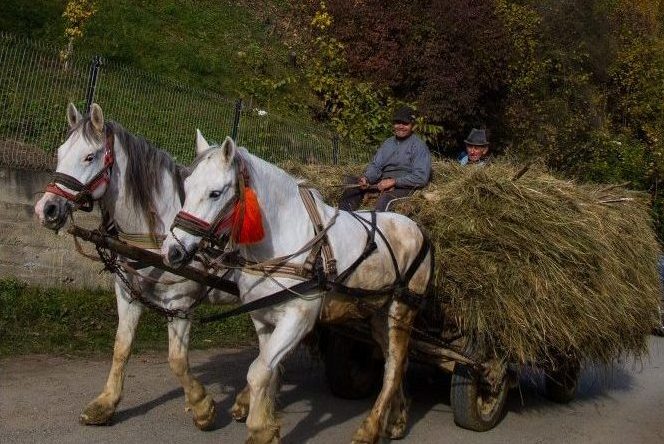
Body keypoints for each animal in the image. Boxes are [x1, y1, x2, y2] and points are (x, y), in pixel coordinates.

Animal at [33, 103, 241, 430]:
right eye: (60, 152)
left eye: (89, 156)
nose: (47, 209)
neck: (161, 231)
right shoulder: (128, 295)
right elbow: (121, 347)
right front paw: (106, 404)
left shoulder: (180, 304)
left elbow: (177, 360)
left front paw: (202, 407)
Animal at [163, 135, 434, 444]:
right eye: (186, 187)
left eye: (215, 193)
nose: (172, 251)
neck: (286, 242)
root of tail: (417, 228)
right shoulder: (263, 318)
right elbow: (266, 369)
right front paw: (265, 420)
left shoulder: (298, 318)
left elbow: (258, 371)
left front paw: (260, 431)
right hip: (377, 314)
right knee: (394, 361)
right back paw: (397, 419)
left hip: (402, 311)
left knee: (395, 365)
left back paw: (370, 428)